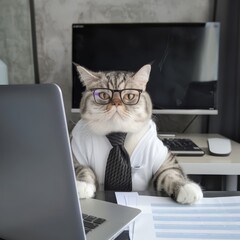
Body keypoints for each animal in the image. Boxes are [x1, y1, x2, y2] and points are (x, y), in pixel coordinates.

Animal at [71, 64, 202, 204]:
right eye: (103, 95)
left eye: (129, 96)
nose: (116, 103)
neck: (118, 136)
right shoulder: (76, 154)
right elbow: (82, 169)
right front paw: (83, 185)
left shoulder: (164, 158)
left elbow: (171, 173)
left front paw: (186, 187)